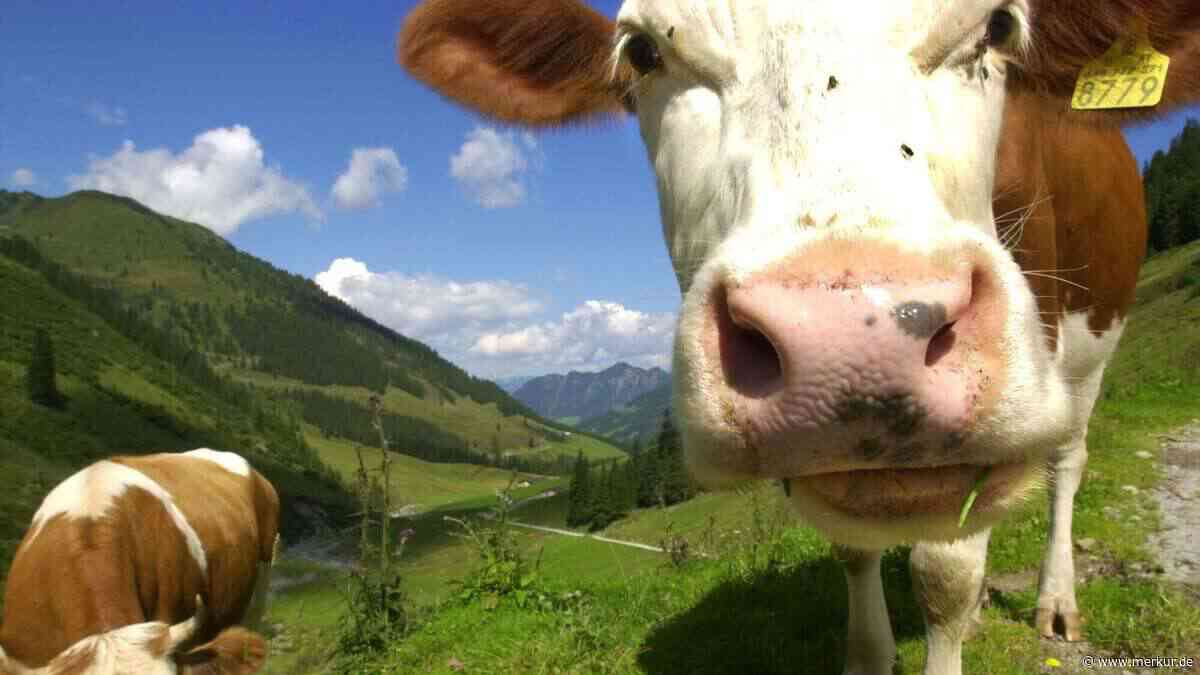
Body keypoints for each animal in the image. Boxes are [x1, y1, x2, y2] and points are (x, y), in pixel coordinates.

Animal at [395, 1, 1200, 673]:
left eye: (999, 26)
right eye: (643, 51)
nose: (853, 341)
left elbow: (944, 577)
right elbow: (853, 550)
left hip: (1090, 346)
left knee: (1067, 462)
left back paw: (1055, 600)